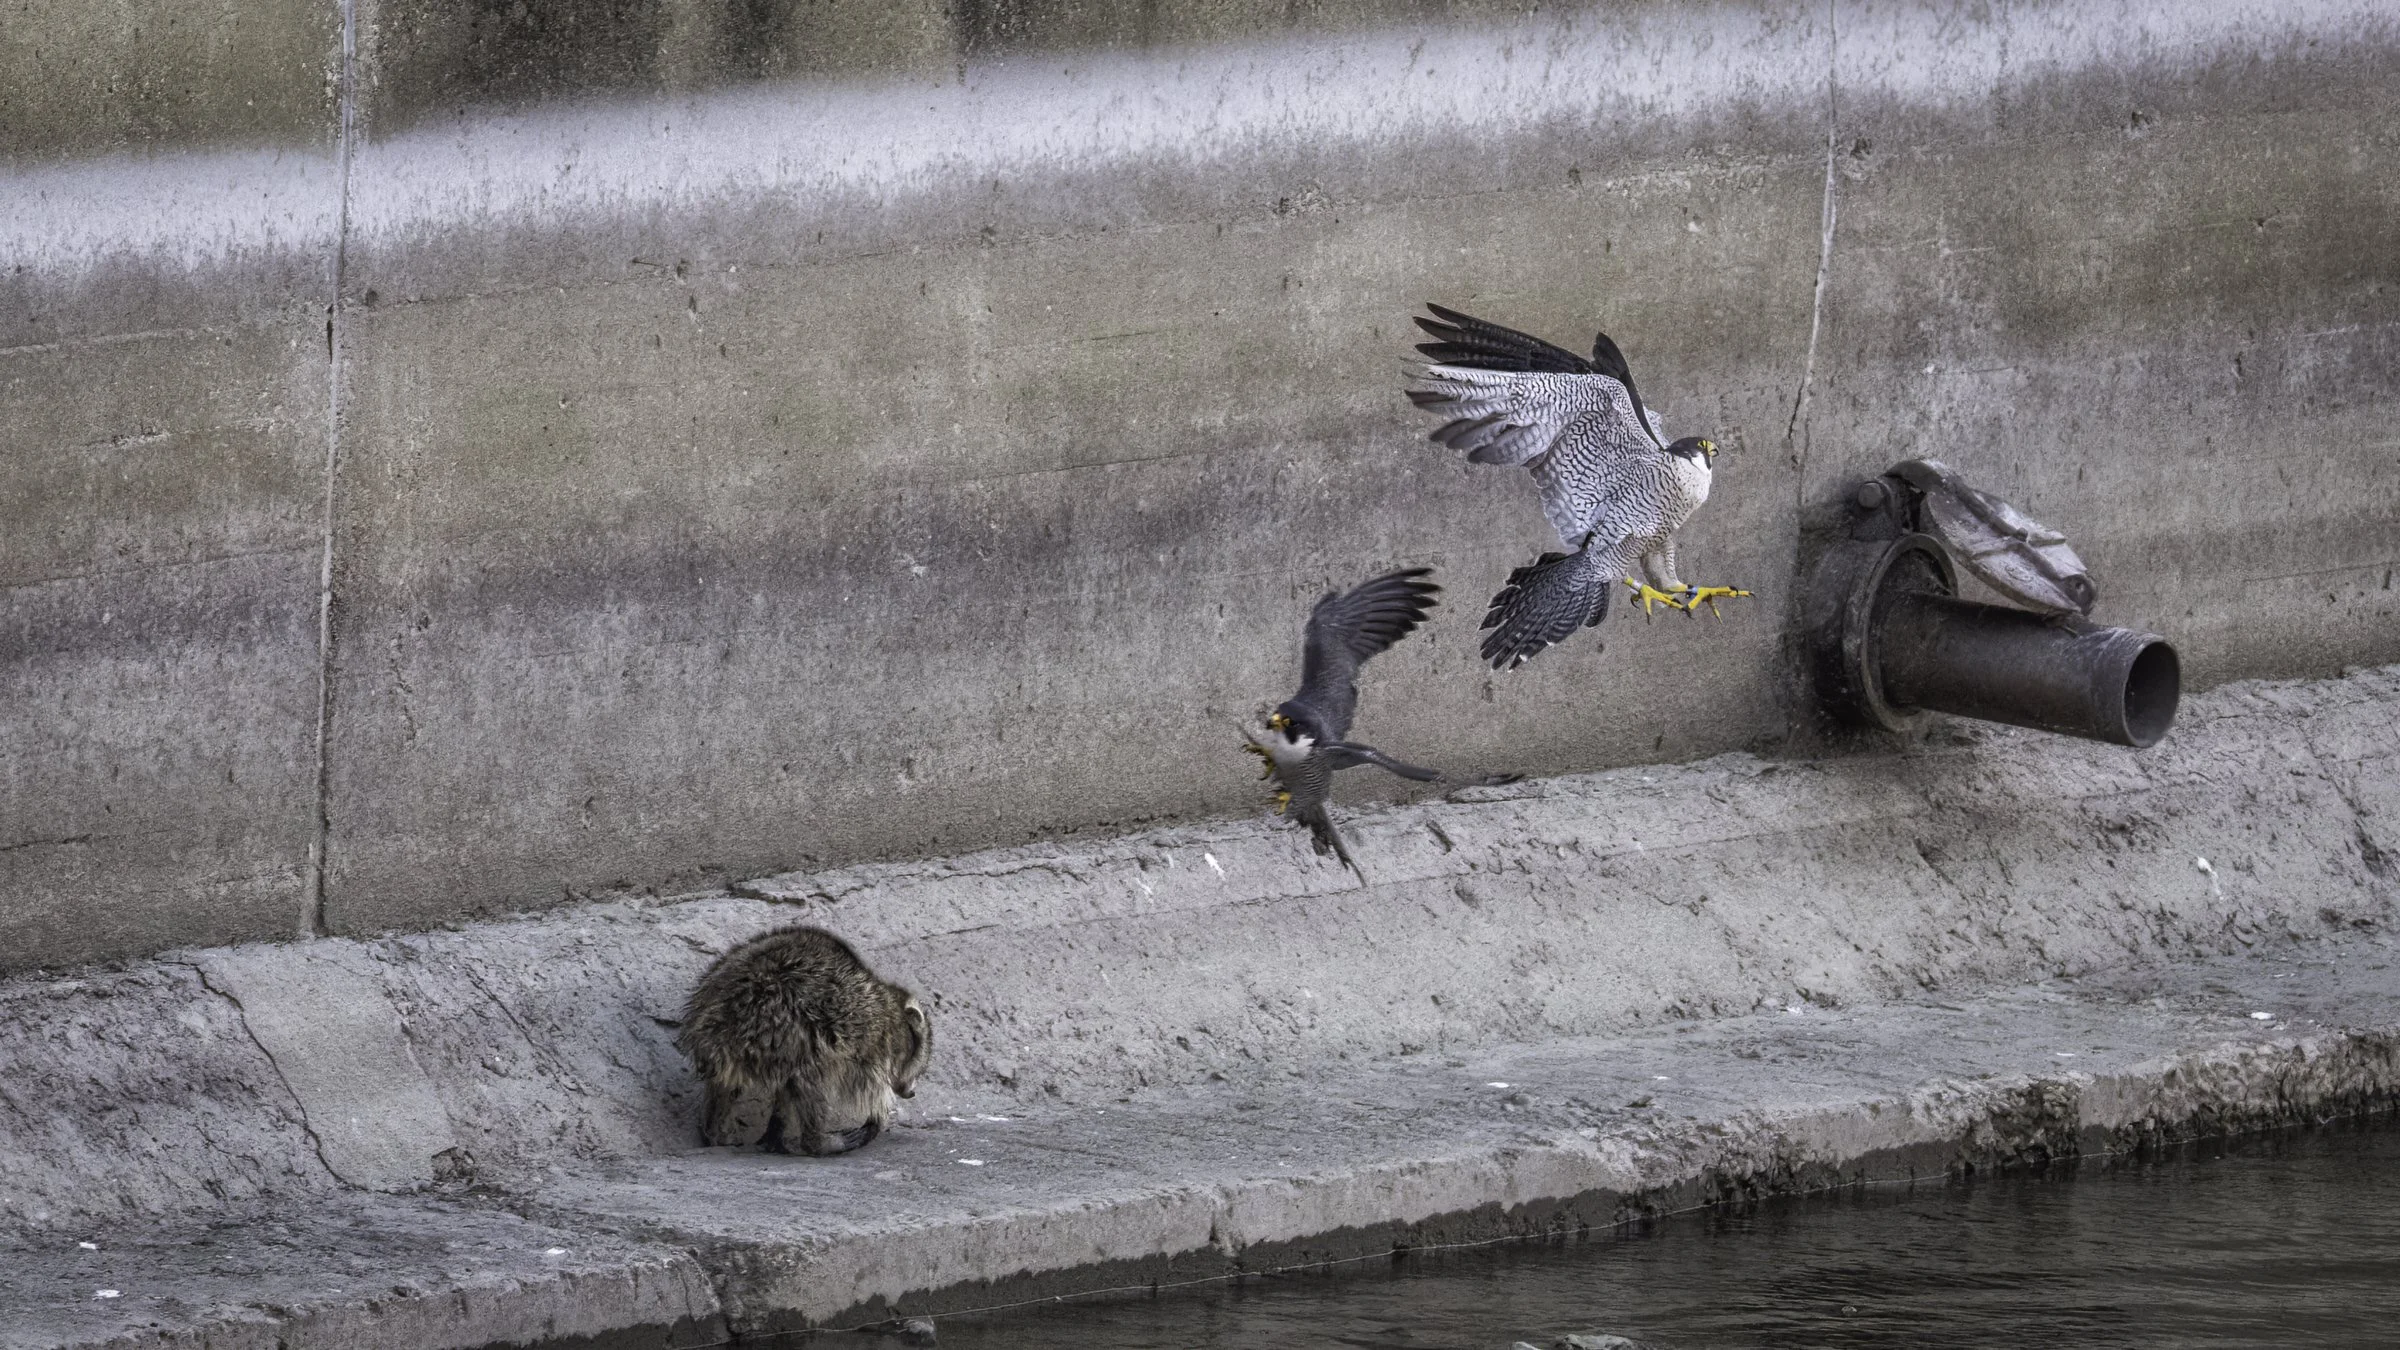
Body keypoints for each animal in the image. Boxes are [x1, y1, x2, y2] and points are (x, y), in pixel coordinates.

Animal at [675, 925, 932, 1156]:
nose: (911, 1092)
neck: (890, 1002)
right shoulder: (870, 1038)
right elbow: (870, 1088)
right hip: (784, 1023)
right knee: (810, 1079)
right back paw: (817, 1141)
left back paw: (723, 1130)